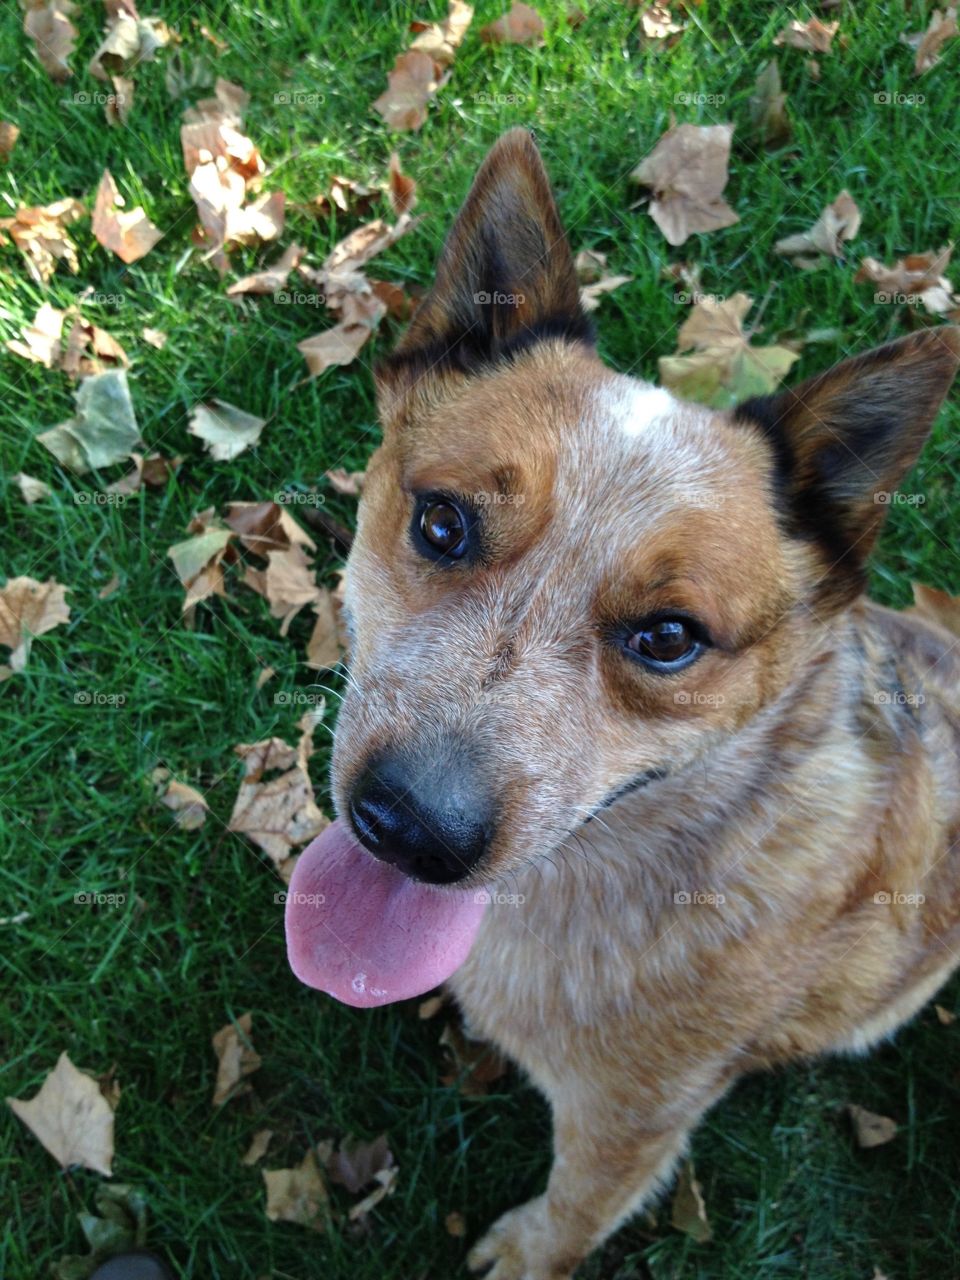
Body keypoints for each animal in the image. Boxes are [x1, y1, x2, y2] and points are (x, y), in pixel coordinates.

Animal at [285, 129, 960, 1280]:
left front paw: (528, 1250)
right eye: (444, 522)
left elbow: (576, 1208)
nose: (409, 824)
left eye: (669, 637)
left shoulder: (631, 1116)